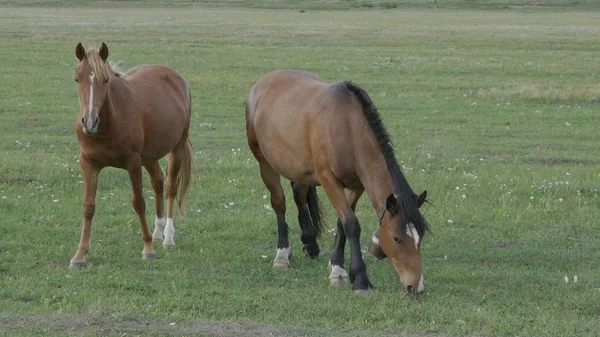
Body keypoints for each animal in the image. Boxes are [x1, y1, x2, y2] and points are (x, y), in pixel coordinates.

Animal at [70, 42, 192, 268]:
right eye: (77, 78)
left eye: (105, 80)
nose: (89, 122)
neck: (110, 122)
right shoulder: (88, 163)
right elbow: (88, 207)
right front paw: (80, 255)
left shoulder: (133, 163)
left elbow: (139, 203)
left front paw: (148, 249)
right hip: (150, 156)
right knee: (158, 182)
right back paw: (157, 232)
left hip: (177, 149)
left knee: (170, 187)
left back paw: (168, 237)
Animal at [246, 69, 428, 292]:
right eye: (397, 238)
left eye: (421, 237)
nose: (416, 286)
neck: (347, 126)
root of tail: (263, 81)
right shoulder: (329, 180)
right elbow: (351, 224)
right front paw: (358, 278)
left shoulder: (357, 186)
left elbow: (342, 223)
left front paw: (337, 265)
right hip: (265, 163)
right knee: (279, 202)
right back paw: (282, 254)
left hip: (299, 167)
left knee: (299, 195)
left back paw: (310, 241)